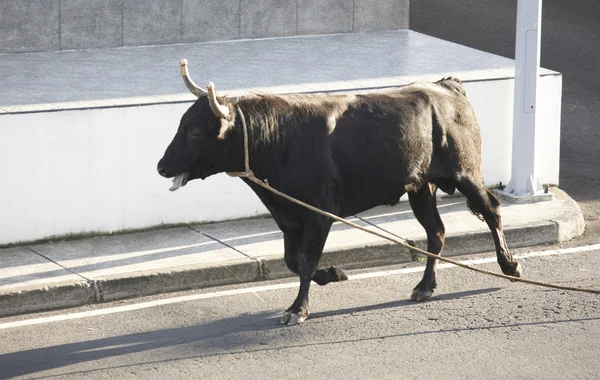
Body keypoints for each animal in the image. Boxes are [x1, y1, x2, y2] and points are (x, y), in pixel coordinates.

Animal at [158, 75, 520, 326]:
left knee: (490, 210)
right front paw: (332, 274)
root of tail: (445, 86)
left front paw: (297, 309)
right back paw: (424, 286)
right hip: (420, 187)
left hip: (465, 172)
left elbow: (304, 261)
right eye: (180, 125)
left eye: (195, 132)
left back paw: (509, 266)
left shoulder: (320, 213)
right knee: (436, 233)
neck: (278, 139)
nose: (161, 167)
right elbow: (293, 261)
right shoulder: (288, 216)